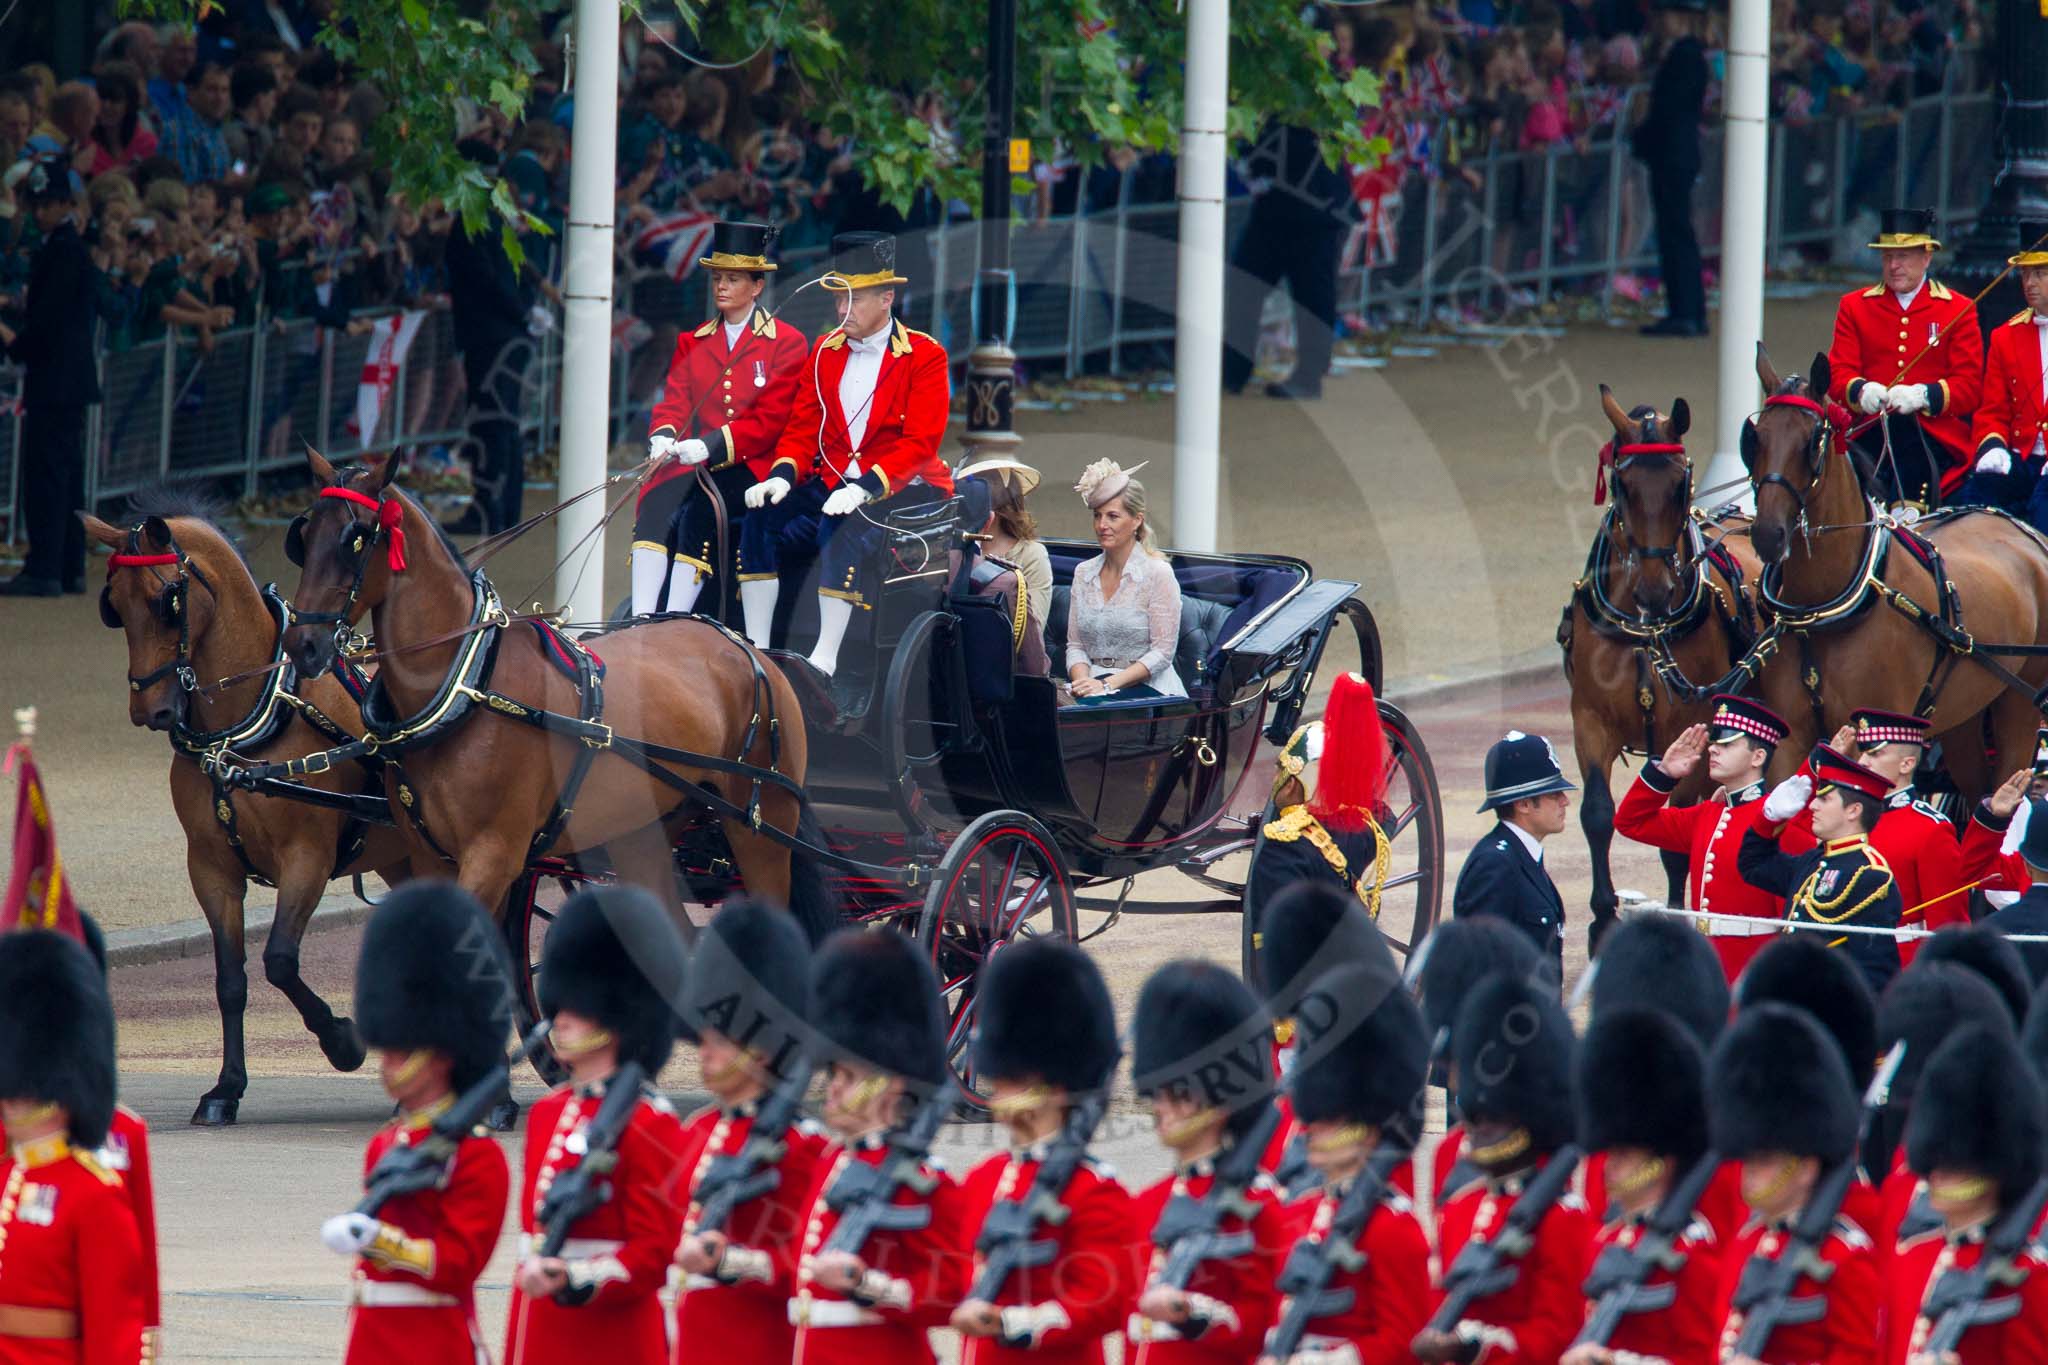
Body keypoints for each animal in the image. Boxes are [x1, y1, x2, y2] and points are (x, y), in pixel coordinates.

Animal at [84, 497, 415, 1129]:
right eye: (112, 605)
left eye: (167, 600)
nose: (150, 710)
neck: (244, 727)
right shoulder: (211, 868)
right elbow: (230, 980)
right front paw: (226, 1088)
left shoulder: (307, 859)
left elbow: (280, 961)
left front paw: (343, 1040)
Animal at [276, 454, 827, 945]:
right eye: (303, 538)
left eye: (356, 539)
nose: (302, 645)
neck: (465, 686)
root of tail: (740, 641)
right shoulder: (430, 855)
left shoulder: (494, 854)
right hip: (641, 831)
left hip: (763, 831)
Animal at [1564, 388, 1794, 925]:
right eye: (1623, 485)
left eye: (1680, 485)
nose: (1655, 590)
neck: (1645, 629)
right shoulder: (1589, 719)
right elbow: (1597, 814)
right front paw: (1602, 914)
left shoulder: (1694, 724)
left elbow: (1680, 825)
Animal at [1753, 347, 2048, 802]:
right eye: (1757, 437)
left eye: (1812, 441)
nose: (1767, 534)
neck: (1829, 607)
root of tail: (2017, 527)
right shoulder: (1790, 737)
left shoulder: (1870, 734)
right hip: (1963, 717)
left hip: (2018, 709)